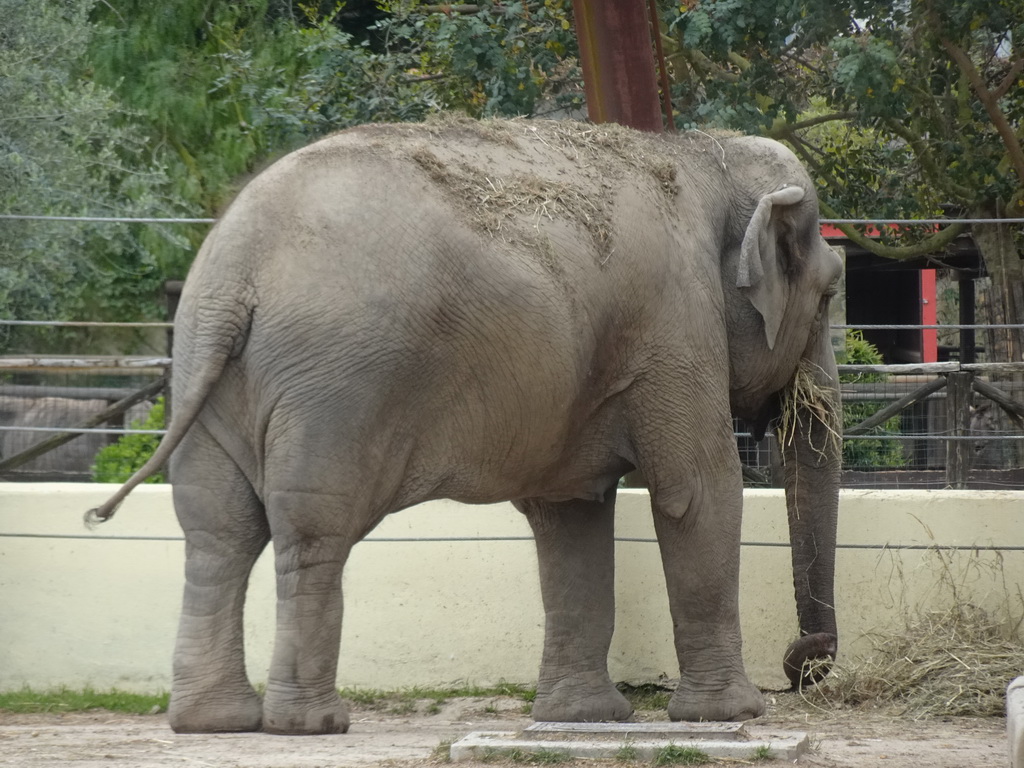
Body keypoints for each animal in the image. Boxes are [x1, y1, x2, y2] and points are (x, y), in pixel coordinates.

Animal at [88, 117, 839, 737]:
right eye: (831, 293)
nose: (804, 666)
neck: (705, 152)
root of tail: (236, 270)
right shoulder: (674, 325)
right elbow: (697, 491)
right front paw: (731, 714)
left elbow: (570, 514)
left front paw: (580, 720)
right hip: (333, 387)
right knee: (309, 530)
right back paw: (312, 724)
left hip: (203, 369)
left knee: (217, 531)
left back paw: (212, 722)